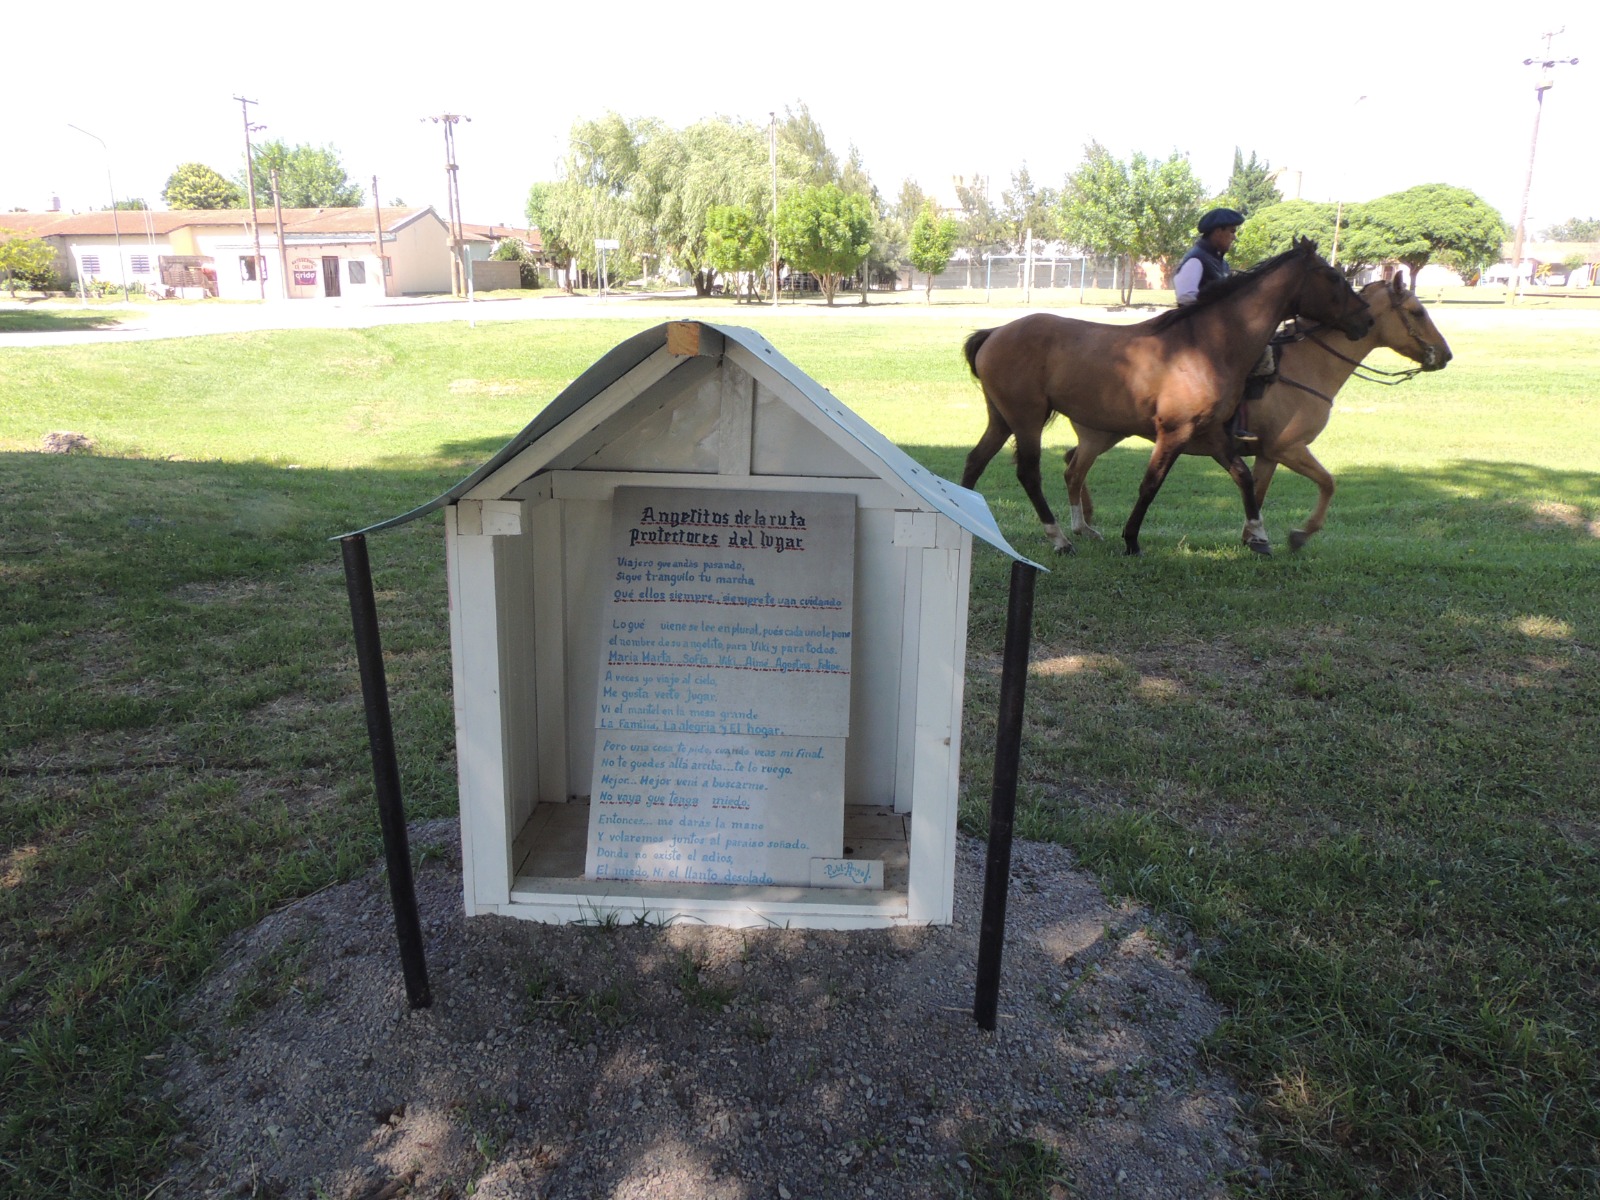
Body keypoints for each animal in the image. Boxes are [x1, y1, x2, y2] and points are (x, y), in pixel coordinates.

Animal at [960, 237, 1373, 556]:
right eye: (1333, 276)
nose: (1366, 319)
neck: (1206, 346)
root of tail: (995, 332)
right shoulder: (1174, 432)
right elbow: (1151, 484)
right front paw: (1131, 540)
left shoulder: (1212, 433)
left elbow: (1243, 478)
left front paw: (1258, 536)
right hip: (1027, 419)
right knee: (1029, 473)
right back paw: (1059, 538)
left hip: (1002, 419)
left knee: (976, 461)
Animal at [1057, 274, 1452, 552]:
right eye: (1417, 312)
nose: (1445, 355)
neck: (1309, 366)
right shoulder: (1288, 448)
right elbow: (1328, 482)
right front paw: (1299, 534)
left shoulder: (1266, 455)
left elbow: (1257, 492)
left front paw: (1253, 535)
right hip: (1101, 433)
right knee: (1074, 469)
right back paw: (1081, 525)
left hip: (1107, 432)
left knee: (1071, 461)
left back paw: (1086, 522)